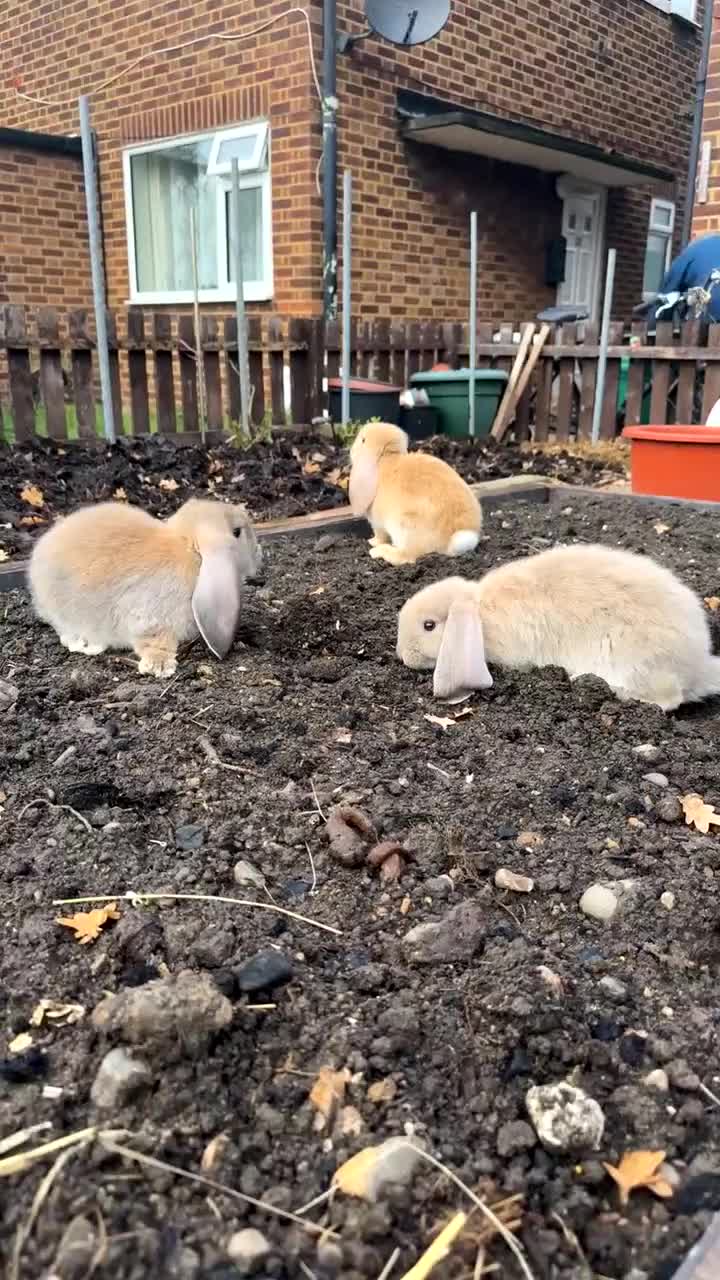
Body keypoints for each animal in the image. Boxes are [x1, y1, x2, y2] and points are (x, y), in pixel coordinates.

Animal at [28, 498, 262, 678]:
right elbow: (153, 642)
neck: (189, 550)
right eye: (237, 532)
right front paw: (160, 666)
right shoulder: (150, 619)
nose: (258, 551)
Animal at [349, 422, 482, 565]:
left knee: (405, 556)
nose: (351, 450)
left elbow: (380, 535)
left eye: (363, 440)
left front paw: (372, 542)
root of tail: (454, 539)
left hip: (403, 527)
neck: (385, 460)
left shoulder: (377, 524)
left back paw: (378, 552)